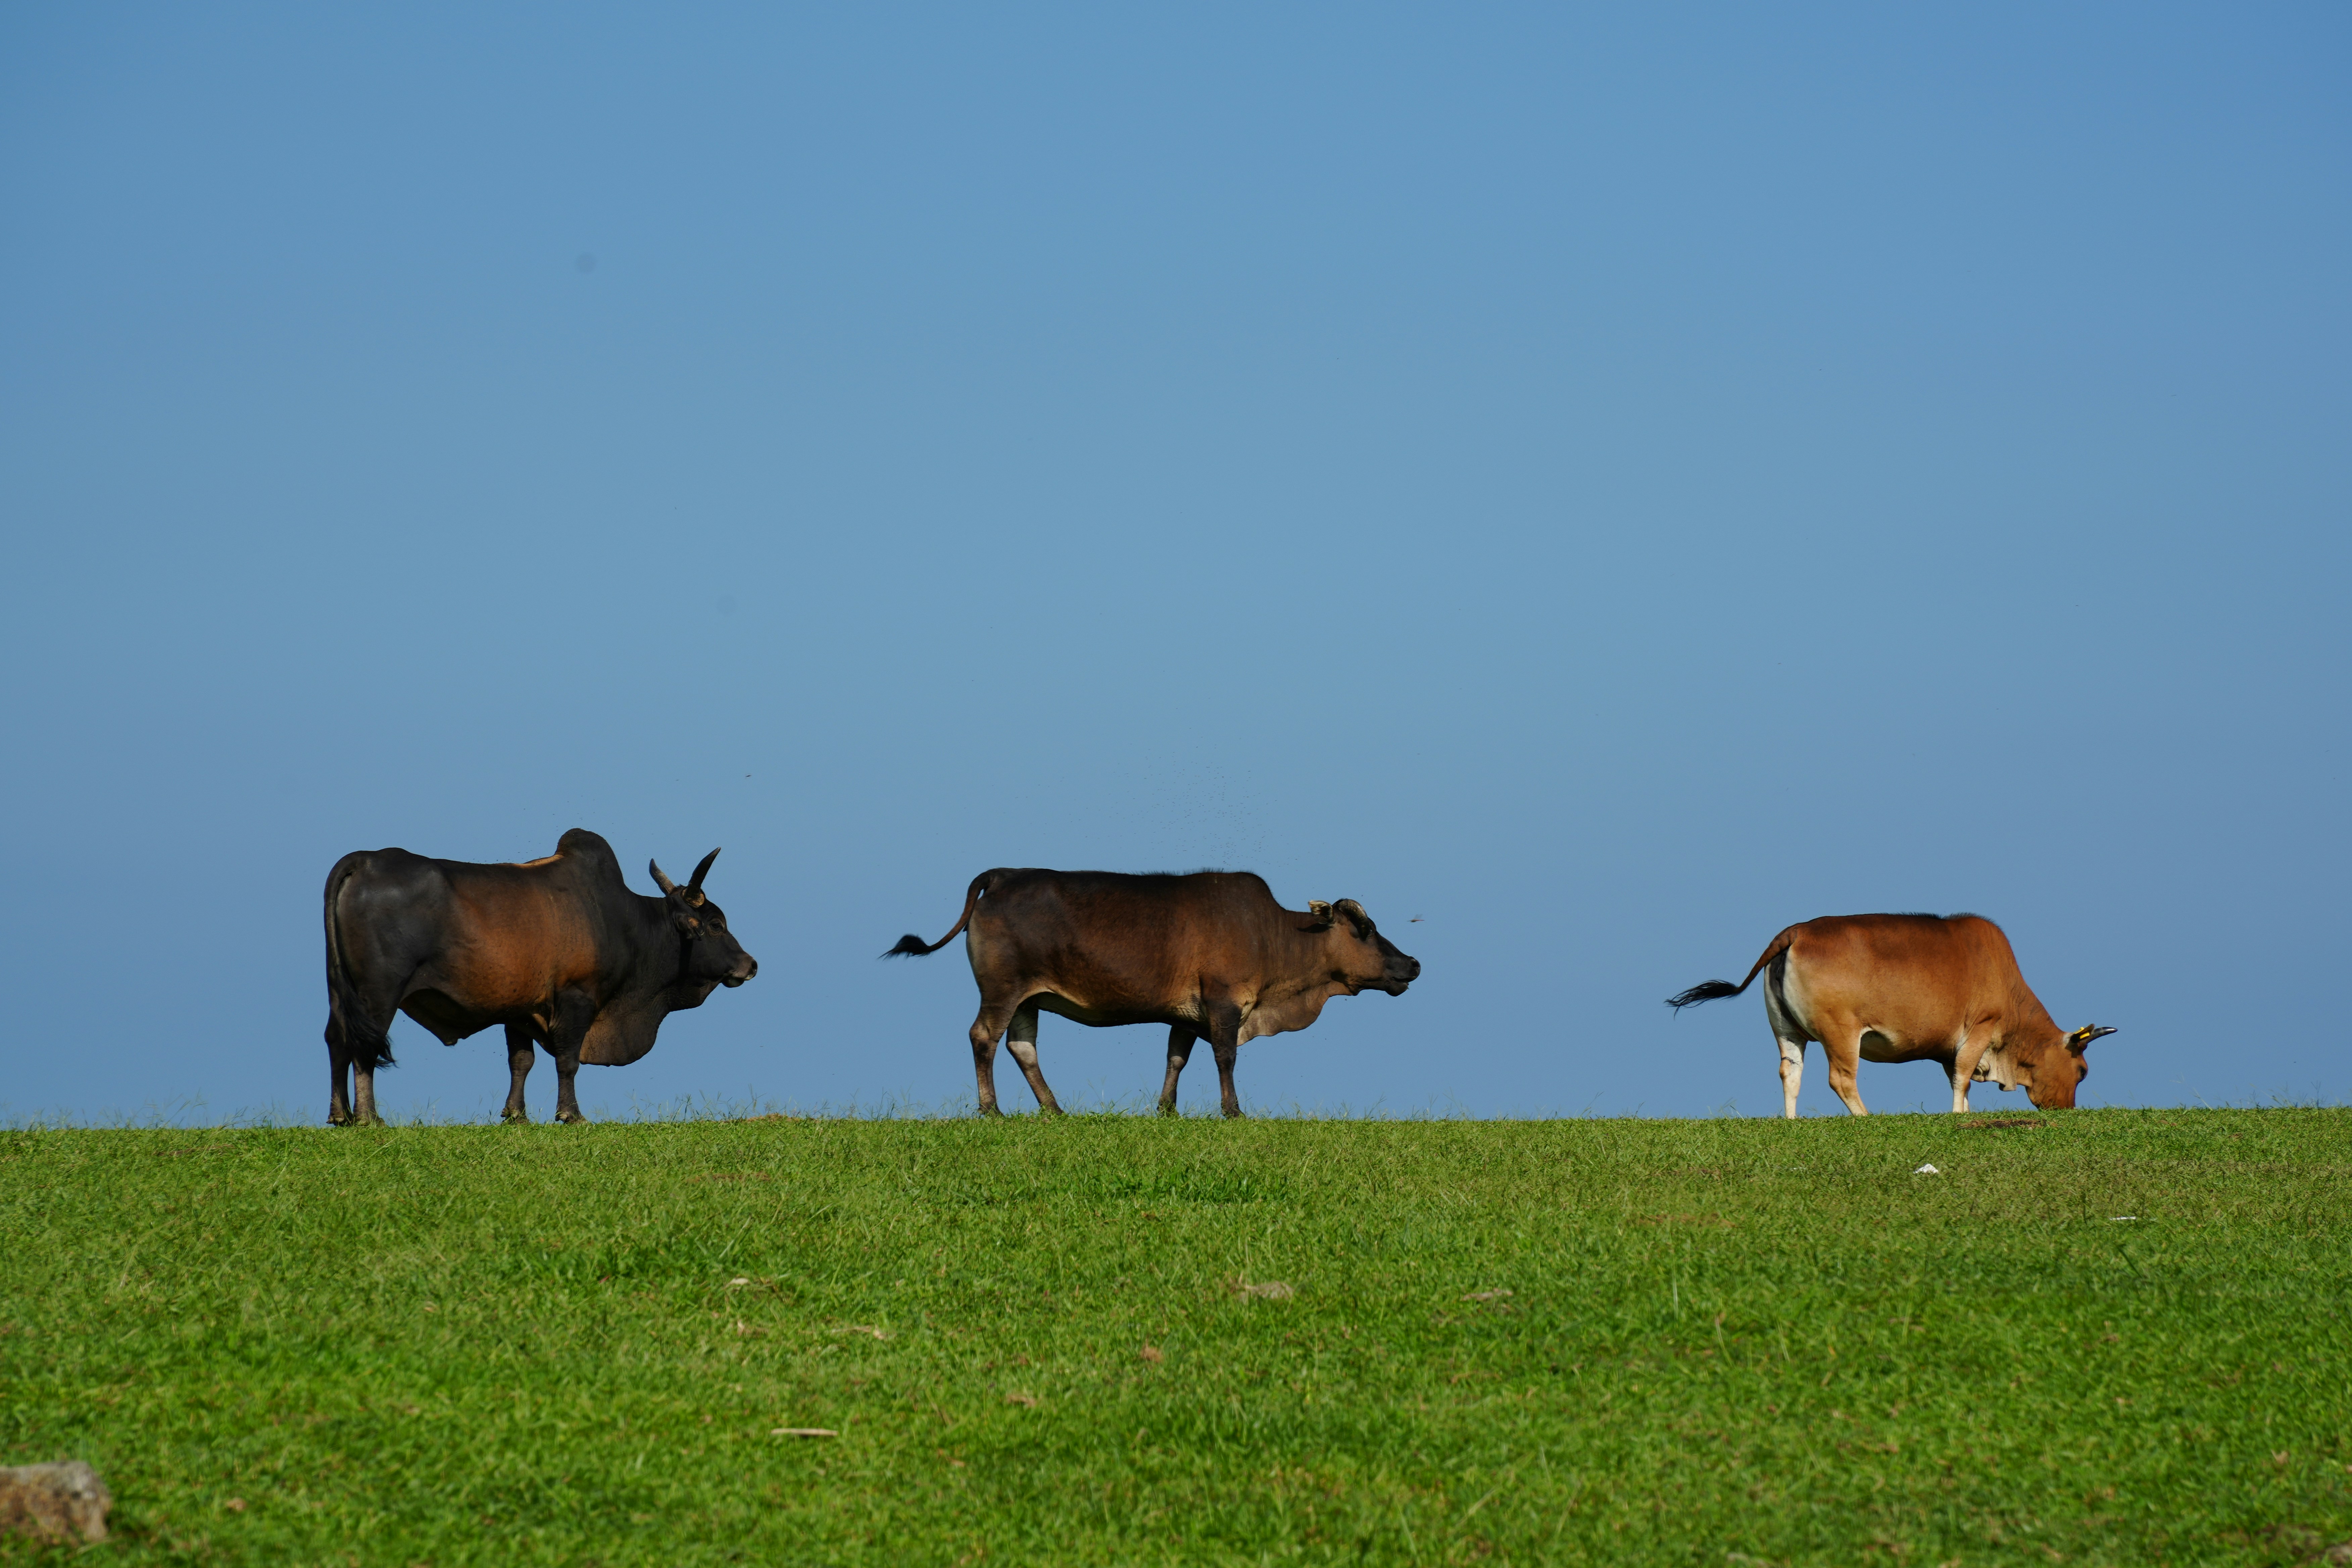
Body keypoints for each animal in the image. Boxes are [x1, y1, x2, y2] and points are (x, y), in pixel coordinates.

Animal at [321, 828, 757, 1126]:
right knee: (365, 1046)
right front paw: (571, 1114)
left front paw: (516, 1114)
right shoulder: (576, 998)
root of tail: (363, 861)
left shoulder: (519, 1009)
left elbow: (522, 1061)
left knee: (336, 1040)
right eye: (716, 925)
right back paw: (368, 1116)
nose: (750, 965)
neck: (623, 922)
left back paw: (341, 1114)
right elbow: (568, 1060)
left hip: (340, 991)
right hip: (379, 993)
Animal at [883, 869, 1420, 1118]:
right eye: (1365, 930)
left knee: (1022, 1046)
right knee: (984, 1038)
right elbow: (1225, 1057)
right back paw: (992, 1109)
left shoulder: (1186, 1012)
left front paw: (1166, 1109)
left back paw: (1054, 1109)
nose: (1413, 963)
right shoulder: (1224, 1001)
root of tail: (1003, 873)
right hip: (1002, 988)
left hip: (1027, 999)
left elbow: (1176, 1057)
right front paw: (1233, 1110)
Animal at [1666, 912, 2112, 1118]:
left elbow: (1959, 1077)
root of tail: (1797, 931)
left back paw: (1791, 1121)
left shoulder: (1949, 1048)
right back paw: (1865, 1117)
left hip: (1787, 1031)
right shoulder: (1980, 1028)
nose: (2068, 1110)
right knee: (1841, 1079)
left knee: (1790, 1073)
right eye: (2083, 1070)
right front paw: (1957, 1116)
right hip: (1841, 1033)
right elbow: (1964, 1076)